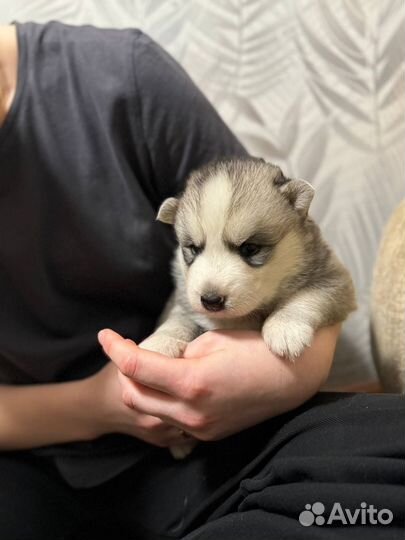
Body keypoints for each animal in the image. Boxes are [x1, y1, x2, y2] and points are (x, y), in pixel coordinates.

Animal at [140, 156, 356, 456]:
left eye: (250, 248)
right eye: (193, 249)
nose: (211, 300)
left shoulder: (335, 281)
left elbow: (307, 297)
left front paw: (285, 328)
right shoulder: (185, 298)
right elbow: (179, 318)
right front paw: (160, 341)